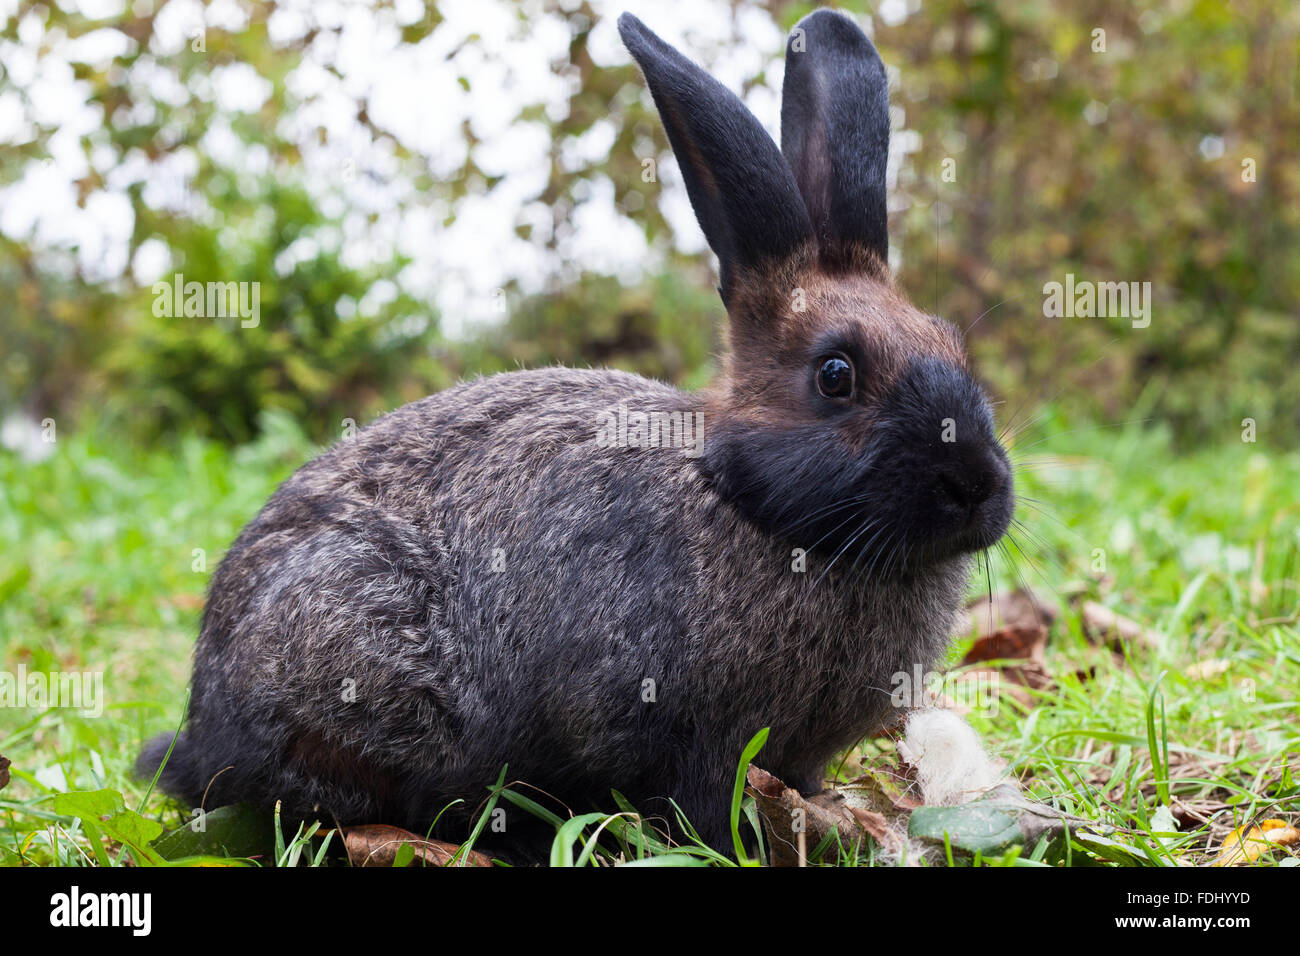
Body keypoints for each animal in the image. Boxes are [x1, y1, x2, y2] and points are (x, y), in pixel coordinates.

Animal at [138, 9, 1013, 858]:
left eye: (952, 344)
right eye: (836, 375)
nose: (977, 487)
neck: (747, 501)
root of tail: (204, 725)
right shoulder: (675, 732)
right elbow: (694, 802)